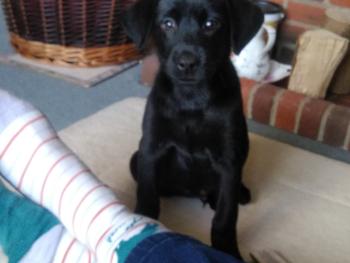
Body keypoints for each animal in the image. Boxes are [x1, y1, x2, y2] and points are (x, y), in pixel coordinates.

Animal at [123, 0, 262, 260]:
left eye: (211, 24)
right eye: (167, 24)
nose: (187, 63)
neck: (191, 98)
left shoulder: (228, 160)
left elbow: (225, 218)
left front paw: (227, 251)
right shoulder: (150, 148)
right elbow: (147, 198)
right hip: (135, 158)